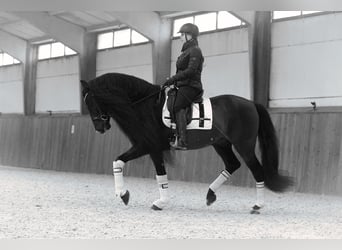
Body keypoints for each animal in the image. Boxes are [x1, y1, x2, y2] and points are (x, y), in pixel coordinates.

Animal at [81, 72, 294, 213]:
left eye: (90, 101)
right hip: (221, 144)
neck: (145, 105)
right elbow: (118, 162)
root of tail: (251, 103)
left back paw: (257, 206)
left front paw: (157, 202)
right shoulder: (145, 146)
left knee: (257, 170)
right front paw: (124, 194)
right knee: (232, 164)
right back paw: (210, 195)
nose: (100, 128)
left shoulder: (150, 146)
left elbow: (159, 174)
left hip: (244, 146)